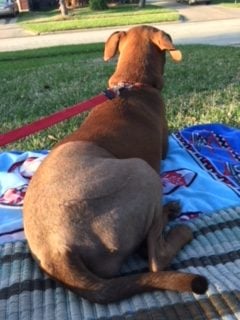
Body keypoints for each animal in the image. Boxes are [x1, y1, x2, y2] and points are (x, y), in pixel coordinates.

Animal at [23, 26, 208, 304]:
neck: (131, 84)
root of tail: (57, 251)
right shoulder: (165, 147)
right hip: (144, 172)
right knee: (155, 258)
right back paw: (176, 221)